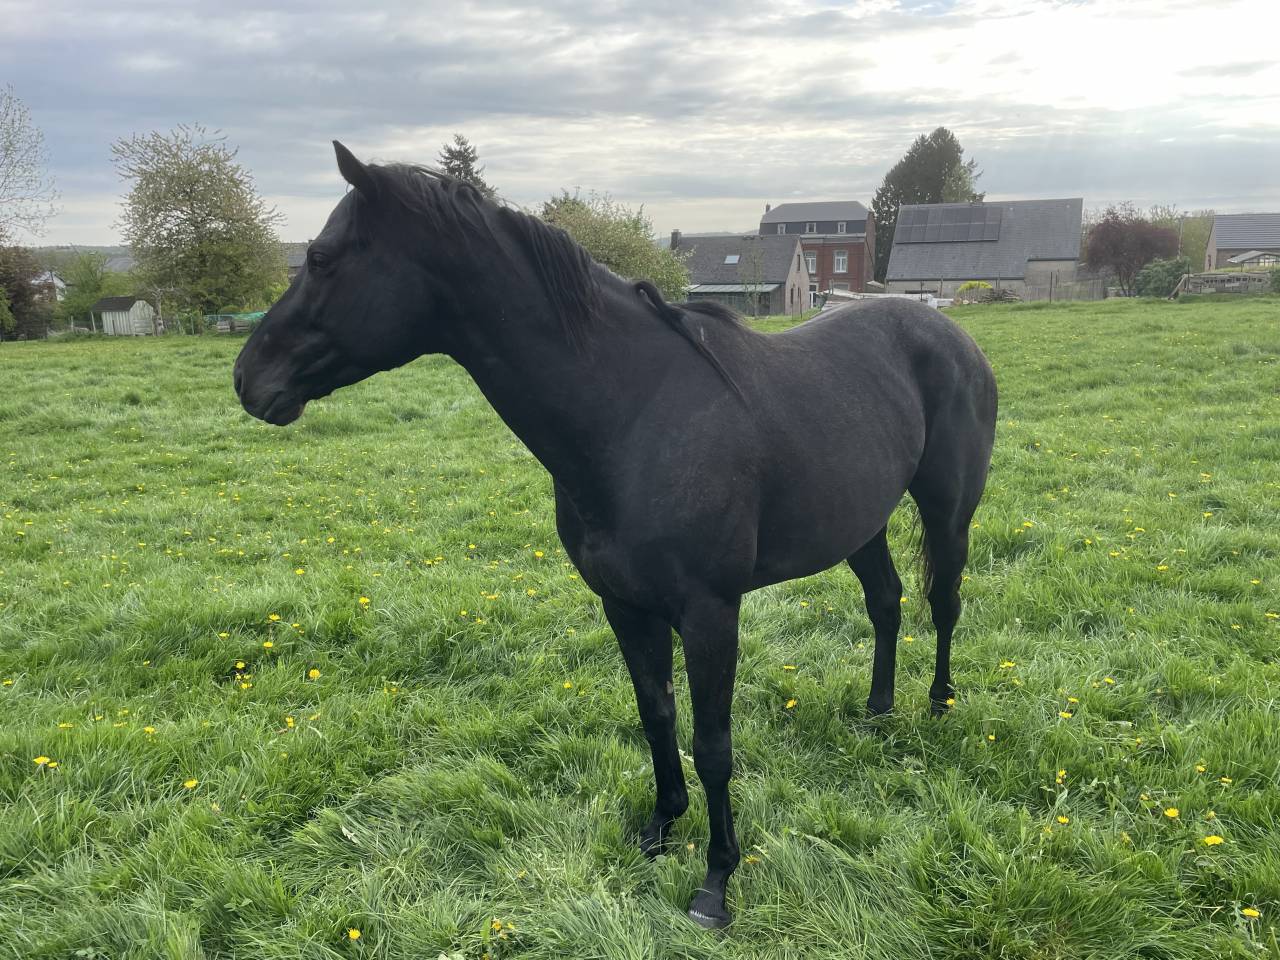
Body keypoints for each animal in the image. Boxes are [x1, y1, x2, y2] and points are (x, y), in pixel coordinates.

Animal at [234, 142, 998, 929]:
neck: (632, 414)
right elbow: (656, 716)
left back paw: (939, 703)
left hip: (948, 511)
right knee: (886, 601)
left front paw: (715, 883)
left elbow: (713, 744)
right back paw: (877, 712)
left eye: (321, 257)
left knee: (945, 603)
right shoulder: (625, 606)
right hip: (860, 525)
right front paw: (660, 828)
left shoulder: (710, 614)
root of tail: (951, 335)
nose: (248, 378)